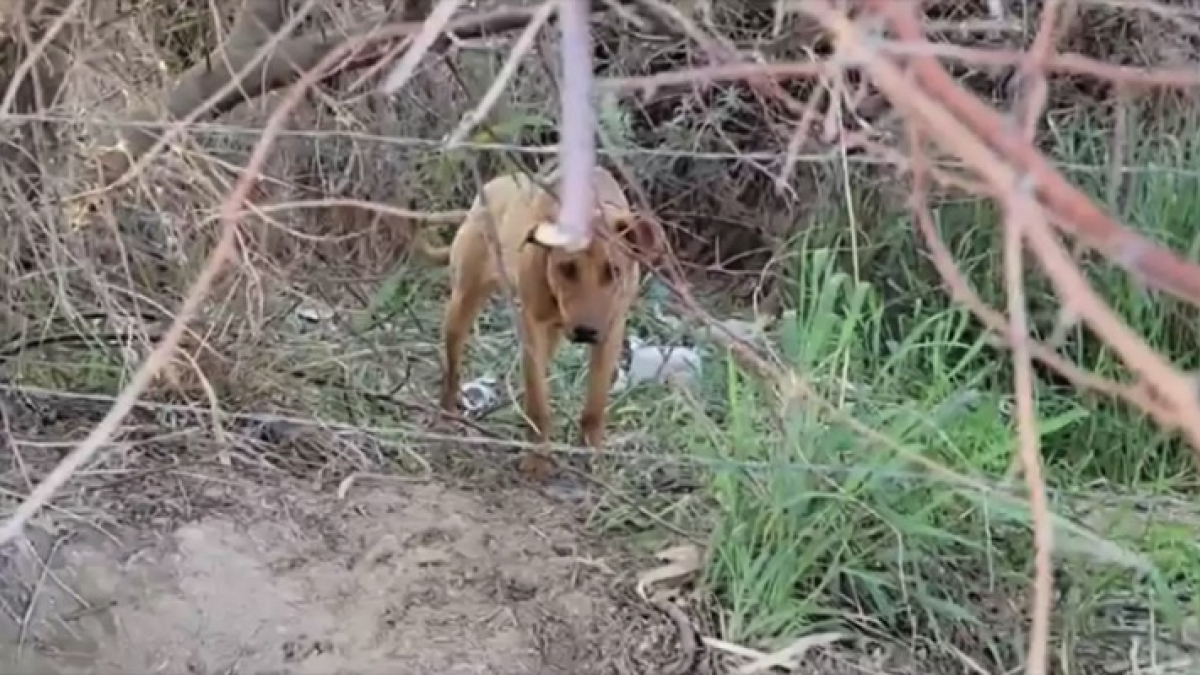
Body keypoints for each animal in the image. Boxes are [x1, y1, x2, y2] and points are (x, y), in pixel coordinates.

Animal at [417, 166, 662, 473]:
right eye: (566, 268)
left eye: (613, 271)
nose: (586, 331)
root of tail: (487, 191)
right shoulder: (532, 325)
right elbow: (538, 402)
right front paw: (537, 459)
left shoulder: (612, 331)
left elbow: (594, 406)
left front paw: (590, 455)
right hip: (462, 304)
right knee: (452, 370)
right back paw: (447, 417)